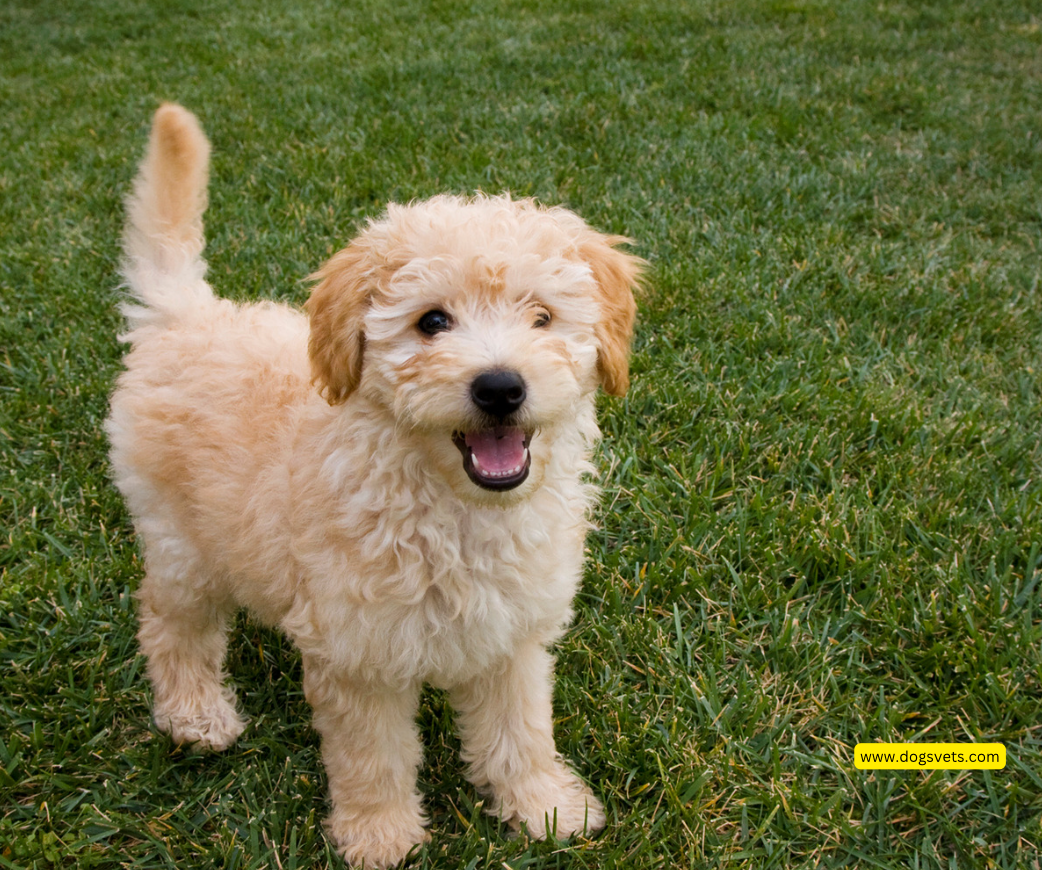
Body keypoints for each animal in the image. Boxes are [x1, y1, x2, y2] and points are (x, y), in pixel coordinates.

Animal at [105, 103, 641, 870]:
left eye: (542, 317)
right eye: (432, 321)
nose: (500, 387)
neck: (452, 510)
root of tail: (187, 316)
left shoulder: (511, 635)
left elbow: (522, 730)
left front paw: (545, 808)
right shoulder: (360, 656)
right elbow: (373, 756)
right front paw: (381, 835)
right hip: (182, 542)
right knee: (168, 623)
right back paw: (196, 715)